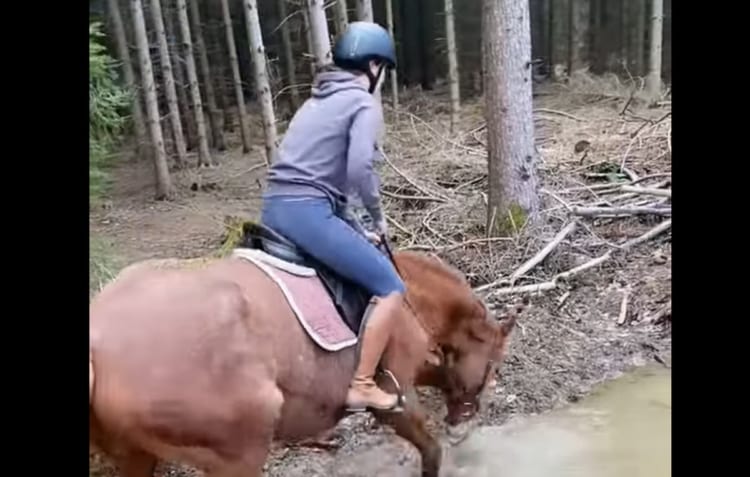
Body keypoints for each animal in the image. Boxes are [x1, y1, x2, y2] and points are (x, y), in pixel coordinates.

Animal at [89, 226, 524, 477]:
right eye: (492, 367)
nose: (462, 421)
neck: (409, 298)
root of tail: (99, 341)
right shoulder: (394, 395)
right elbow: (430, 452)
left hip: (136, 455)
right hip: (240, 452)